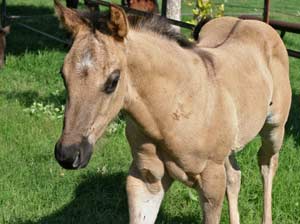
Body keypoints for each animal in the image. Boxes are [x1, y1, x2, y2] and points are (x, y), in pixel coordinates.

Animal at [53, 0, 290, 223]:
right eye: (63, 75)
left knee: (267, 164)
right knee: (235, 176)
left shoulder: (212, 183)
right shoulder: (146, 180)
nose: (68, 154)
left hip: (274, 129)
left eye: (113, 80)